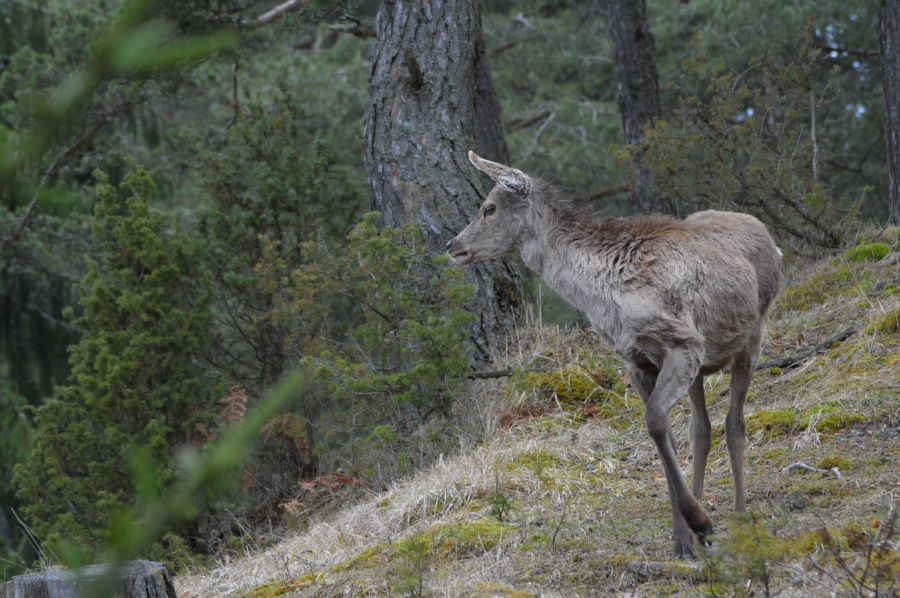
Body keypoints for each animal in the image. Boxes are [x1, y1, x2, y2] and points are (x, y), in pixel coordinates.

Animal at [446, 151, 783, 557]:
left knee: (735, 423)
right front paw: (683, 538)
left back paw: (740, 516)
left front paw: (698, 521)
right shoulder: (637, 361)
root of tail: (773, 240)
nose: (453, 245)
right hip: (702, 367)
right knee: (701, 428)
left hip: (752, 334)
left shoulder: (684, 343)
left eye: (489, 207)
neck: (605, 297)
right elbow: (664, 433)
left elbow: (655, 421)